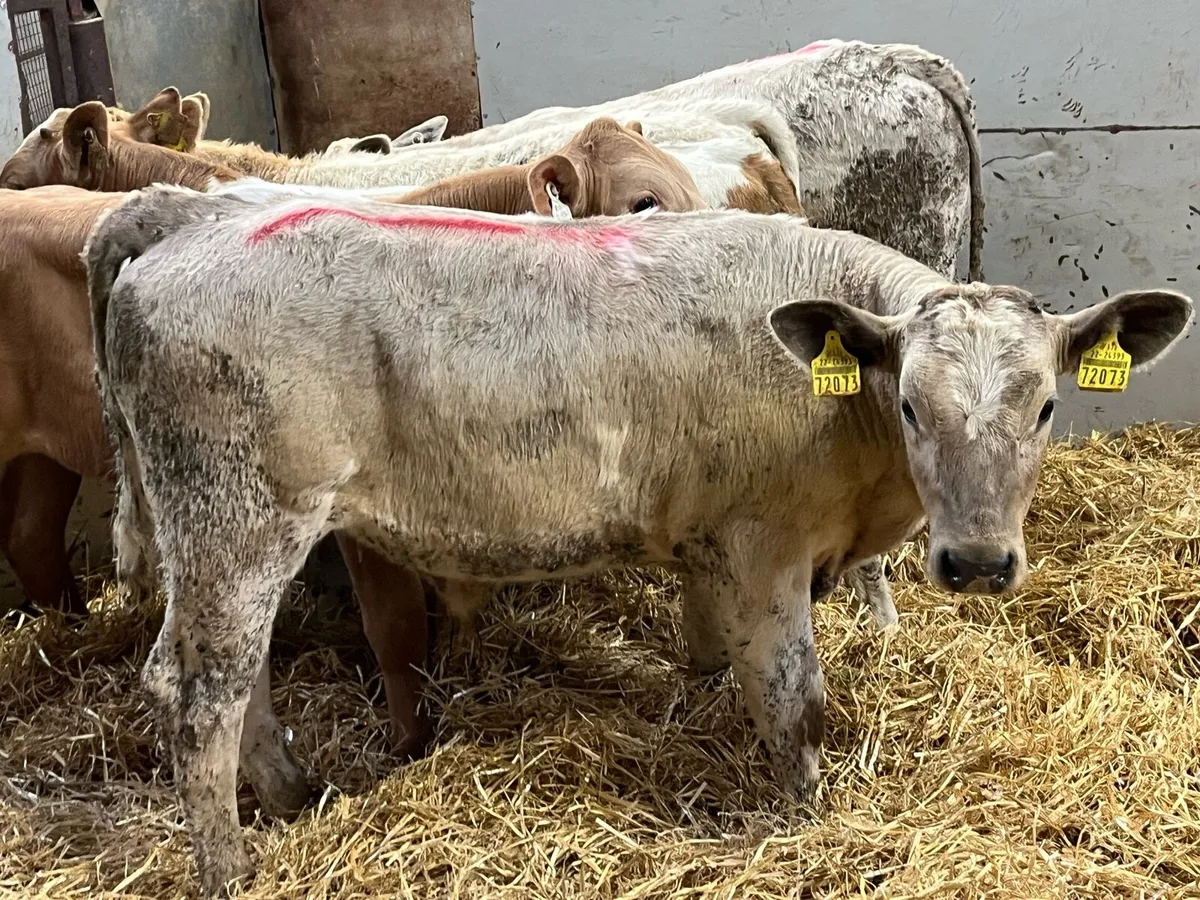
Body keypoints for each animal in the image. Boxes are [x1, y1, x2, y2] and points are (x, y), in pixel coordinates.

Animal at [86, 185, 1191, 895]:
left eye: (1047, 408)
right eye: (913, 405)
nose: (977, 564)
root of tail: (188, 220)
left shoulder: (709, 543)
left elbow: (711, 664)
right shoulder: (761, 546)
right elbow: (794, 700)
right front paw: (806, 819)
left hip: (234, 533)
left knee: (239, 682)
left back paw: (290, 797)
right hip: (238, 518)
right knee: (196, 692)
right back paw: (228, 871)